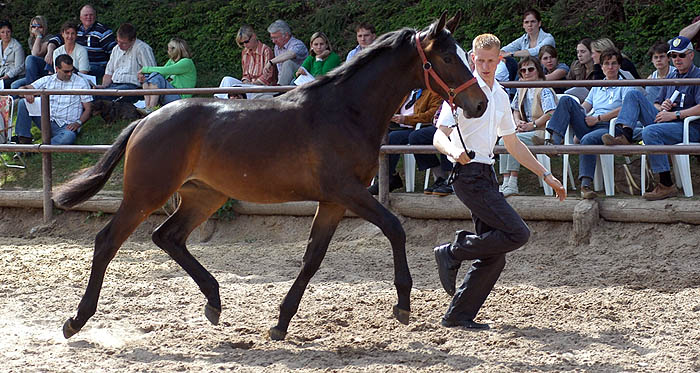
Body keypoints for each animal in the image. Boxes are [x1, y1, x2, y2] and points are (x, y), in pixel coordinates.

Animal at [54, 12, 486, 340]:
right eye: (448, 58)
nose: (479, 104)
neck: (345, 111)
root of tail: (146, 121)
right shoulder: (348, 192)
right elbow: (395, 228)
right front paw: (402, 304)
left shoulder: (333, 201)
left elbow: (312, 258)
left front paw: (280, 322)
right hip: (147, 194)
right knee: (108, 241)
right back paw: (76, 320)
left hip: (203, 195)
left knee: (168, 237)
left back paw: (214, 302)